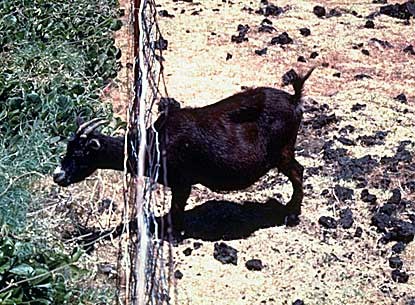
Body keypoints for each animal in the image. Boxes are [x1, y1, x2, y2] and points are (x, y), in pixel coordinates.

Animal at [54, 67, 316, 230]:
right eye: (68, 147)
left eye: (80, 153)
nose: (58, 175)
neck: (154, 142)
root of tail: (294, 100)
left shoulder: (182, 181)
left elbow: (177, 207)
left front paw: (176, 234)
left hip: (283, 150)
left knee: (297, 172)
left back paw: (291, 213)